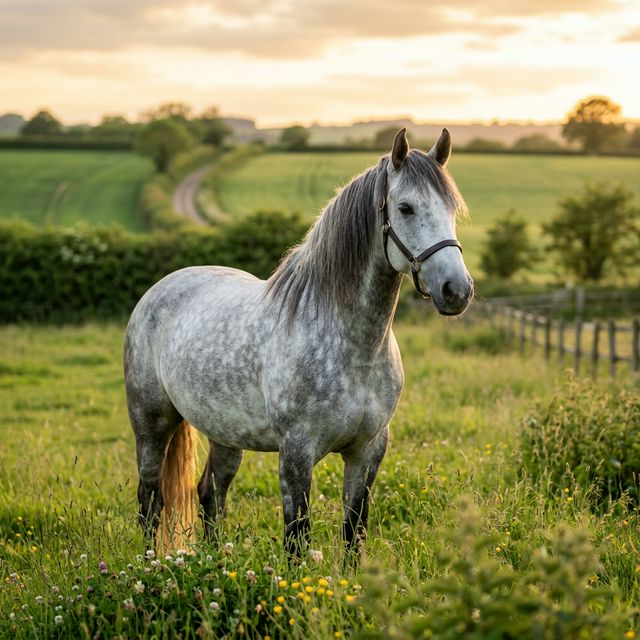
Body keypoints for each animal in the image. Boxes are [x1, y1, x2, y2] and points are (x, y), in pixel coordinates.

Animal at [124, 128, 473, 560]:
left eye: (452, 208)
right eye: (405, 208)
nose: (456, 290)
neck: (354, 349)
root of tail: (159, 289)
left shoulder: (368, 452)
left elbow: (353, 531)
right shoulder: (296, 454)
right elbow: (297, 538)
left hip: (225, 433)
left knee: (210, 493)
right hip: (151, 424)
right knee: (150, 501)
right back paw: (150, 562)